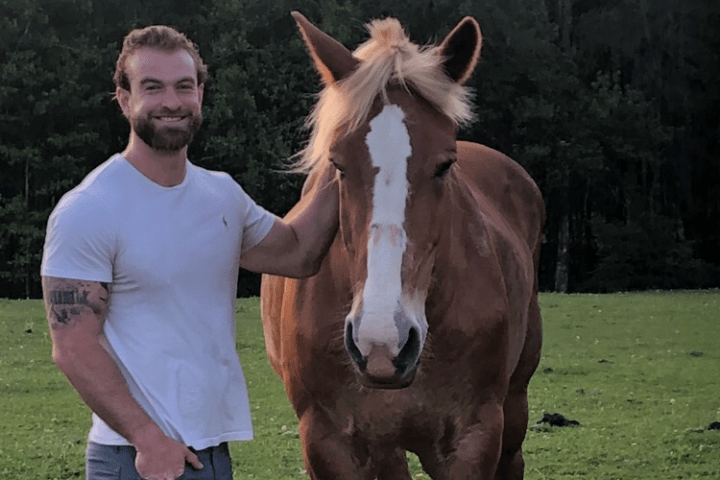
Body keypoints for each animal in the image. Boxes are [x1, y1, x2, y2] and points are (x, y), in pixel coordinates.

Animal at [261, 11, 545, 479]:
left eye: (445, 165)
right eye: (337, 165)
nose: (382, 342)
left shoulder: (474, 439)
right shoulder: (327, 444)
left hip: (514, 407)